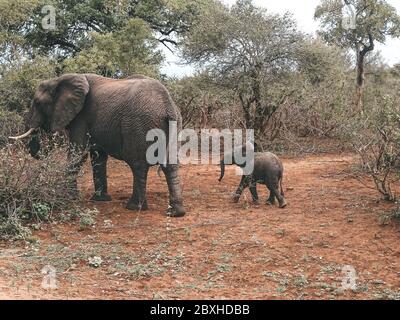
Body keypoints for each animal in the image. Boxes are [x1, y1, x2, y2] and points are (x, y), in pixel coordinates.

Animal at [9, 73, 187, 216]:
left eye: (38, 103)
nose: (40, 153)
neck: (59, 79)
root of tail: (167, 106)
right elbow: (98, 157)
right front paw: (100, 199)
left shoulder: (81, 118)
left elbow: (78, 154)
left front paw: (68, 197)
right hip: (174, 123)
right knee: (170, 165)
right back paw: (175, 212)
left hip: (138, 125)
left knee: (138, 165)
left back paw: (134, 207)